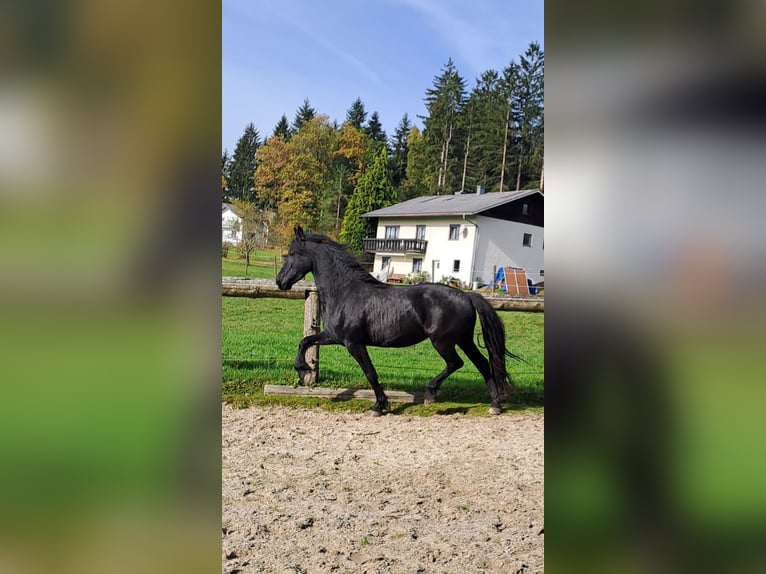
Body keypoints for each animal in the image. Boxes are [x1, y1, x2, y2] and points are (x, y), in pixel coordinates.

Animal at [276, 226, 520, 416]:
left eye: (292, 253)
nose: (280, 281)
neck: (345, 292)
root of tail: (467, 295)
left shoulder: (353, 343)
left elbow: (370, 372)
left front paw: (379, 406)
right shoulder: (333, 336)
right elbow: (305, 341)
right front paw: (303, 370)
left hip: (443, 341)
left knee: (456, 363)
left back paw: (431, 393)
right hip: (463, 340)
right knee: (482, 364)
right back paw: (495, 405)